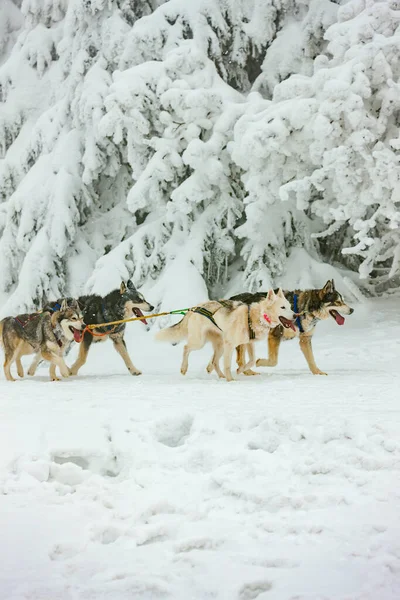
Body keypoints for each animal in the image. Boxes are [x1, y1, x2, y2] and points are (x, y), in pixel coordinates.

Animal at [158, 290, 296, 382]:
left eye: (290, 307)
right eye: (283, 307)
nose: (295, 315)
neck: (254, 317)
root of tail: (194, 308)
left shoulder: (248, 343)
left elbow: (251, 361)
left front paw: (240, 370)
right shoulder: (231, 345)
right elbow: (228, 365)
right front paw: (231, 379)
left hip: (220, 346)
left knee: (214, 362)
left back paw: (221, 376)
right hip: (200, 342)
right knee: (186, 348)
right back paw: (184, 368)